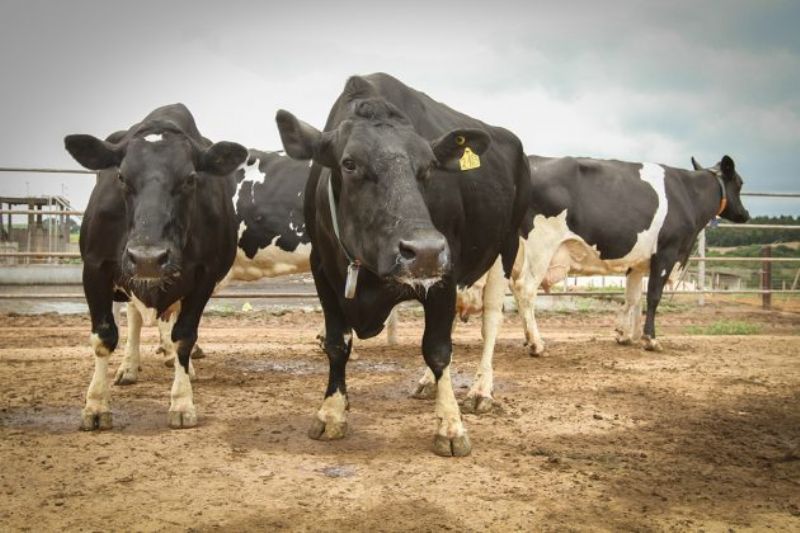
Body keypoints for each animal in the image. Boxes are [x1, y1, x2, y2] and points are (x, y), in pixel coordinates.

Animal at [64, 103, 248, 430]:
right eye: (122, 177)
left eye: (190, 178)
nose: (147, 258)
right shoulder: (95, 268)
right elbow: (103, 336)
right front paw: (96, 405)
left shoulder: (205, 275)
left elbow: (184, 337)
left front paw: (182, 402)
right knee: (134, 318)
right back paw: (129, 367)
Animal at [275, 72, 531, 457]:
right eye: (349, 163)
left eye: (429, 167)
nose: (424, 250)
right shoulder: (322, 270)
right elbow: (336, 344)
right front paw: (332, 412)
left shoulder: (445, 269)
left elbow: (437, 349)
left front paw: (450, 425)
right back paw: (428, 384)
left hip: (506, 246)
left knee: (490, 321)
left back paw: (480, 390)